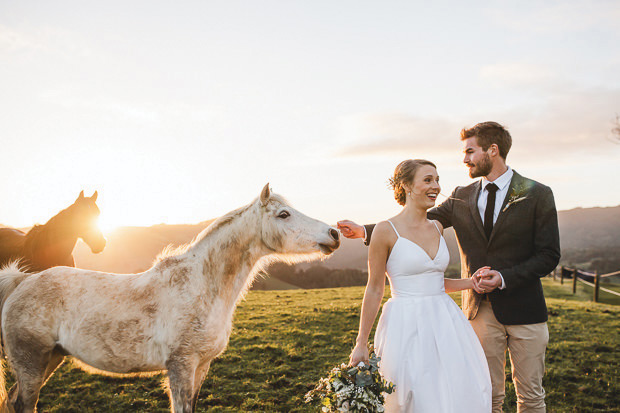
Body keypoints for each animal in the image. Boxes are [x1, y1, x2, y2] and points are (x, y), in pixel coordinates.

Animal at [0, 184, 340, 412]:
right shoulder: (180, 366)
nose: (334, 234)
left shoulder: (201, 367)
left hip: (50, 358)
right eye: (283, 214)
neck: (200, 285)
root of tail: (21, 281)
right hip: (31, 361)